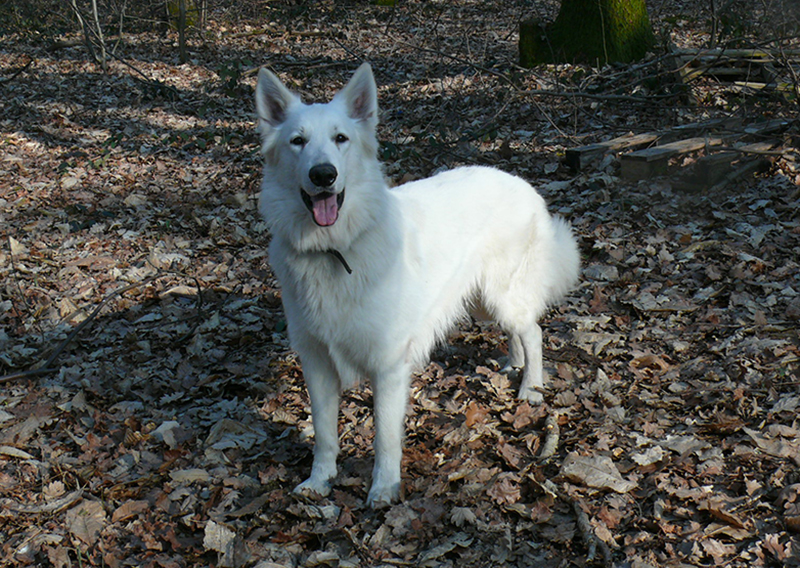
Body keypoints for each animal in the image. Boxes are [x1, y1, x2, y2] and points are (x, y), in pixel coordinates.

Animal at [255, 62, 576, 506]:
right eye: (297, 141)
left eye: (341, 139)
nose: (323, 175)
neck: (335, 249)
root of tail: (523, 184)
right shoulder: (316, 362)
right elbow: (324, 433)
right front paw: (320, 481)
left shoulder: (388, 367)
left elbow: (385, 437)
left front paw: (383, 489)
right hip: (481, 299)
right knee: (518, 331)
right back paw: (514, 363)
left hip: (500, 295)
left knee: (534, 330)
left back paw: (531, 386)